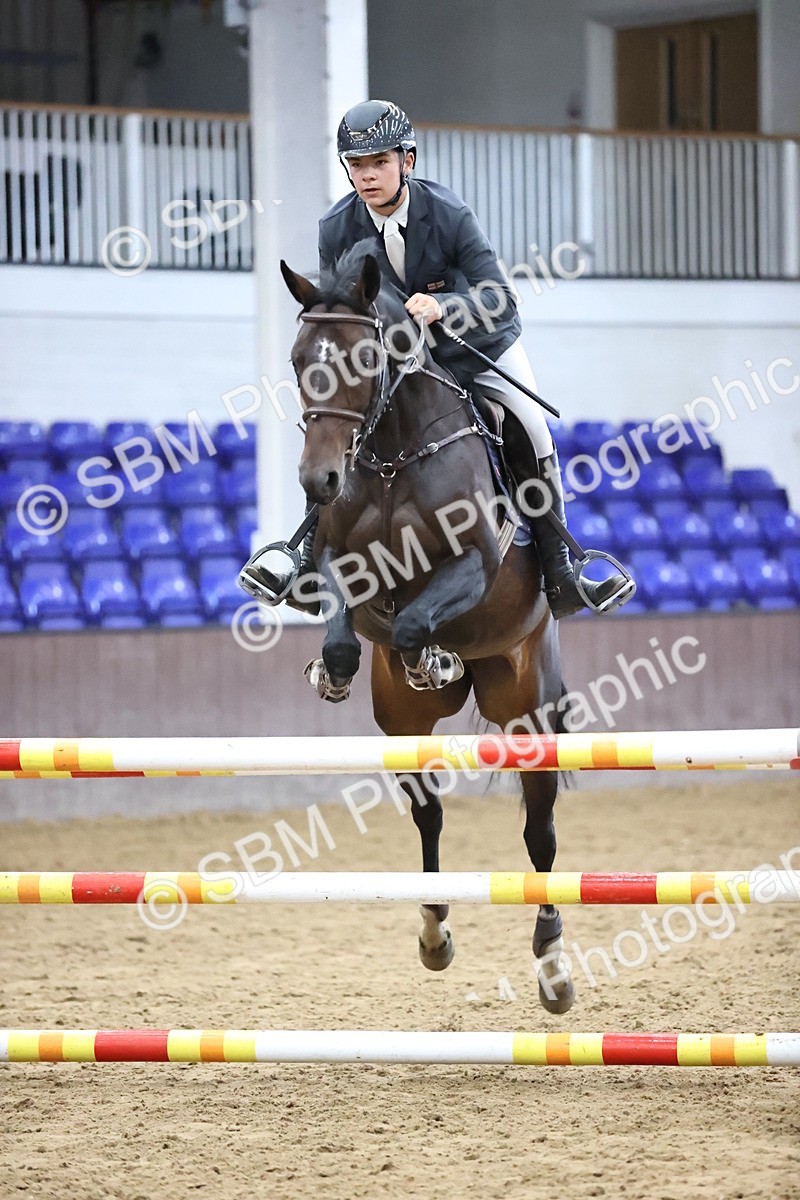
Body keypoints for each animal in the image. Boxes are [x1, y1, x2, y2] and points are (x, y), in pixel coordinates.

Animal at [276, 242, 574, 1013]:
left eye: (363, 358)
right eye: (298, 359)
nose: (318, 481)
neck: (392, 452)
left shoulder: (475, 562)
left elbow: (415, 619)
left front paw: (430, 655)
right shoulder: (341, 560)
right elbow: (347, 621)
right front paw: (333, 670)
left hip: (528, 708)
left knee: (539, 833)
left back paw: (553, 965)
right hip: (402, 725)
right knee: (429, 815)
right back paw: (435, 929)